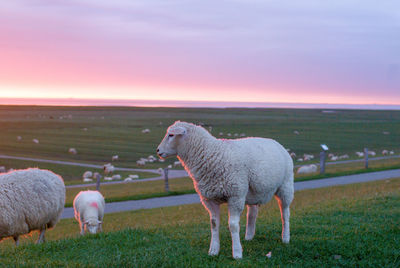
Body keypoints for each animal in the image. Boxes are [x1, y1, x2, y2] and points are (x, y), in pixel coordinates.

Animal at [156, 121, 294, 260]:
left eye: (171, 135)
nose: (158, 150)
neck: (212, 154)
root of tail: (275, 142)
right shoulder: (209, 199)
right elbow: (214, 224)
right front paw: (213, 250)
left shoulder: (235, 195)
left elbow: (233, 225)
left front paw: (237, 253)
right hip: (252, 191)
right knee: (252, 213)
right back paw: (249, 237)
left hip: (285, 186)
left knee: (285, 213)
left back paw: (285, 238)